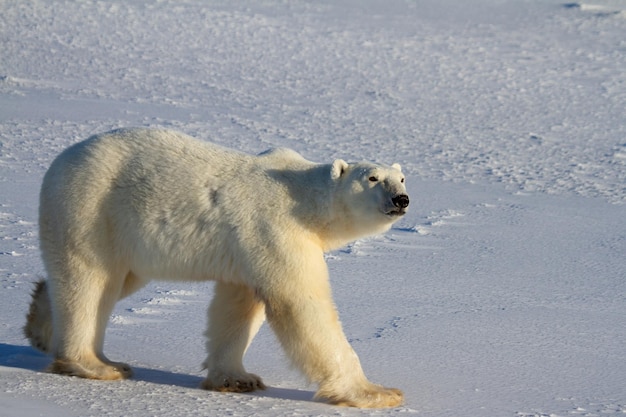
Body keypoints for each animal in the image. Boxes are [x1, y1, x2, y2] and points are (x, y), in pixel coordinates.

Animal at [24, 127, 408, 406]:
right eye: (372, 178)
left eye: (402, 179)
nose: (400, 200)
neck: (304, 199)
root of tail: (62, 159)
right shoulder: (277, 229)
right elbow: (302, 304)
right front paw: (377, 392)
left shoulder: (247, 246)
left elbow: (237, 307)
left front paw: (237, 379)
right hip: (92, 209)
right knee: (90, 281)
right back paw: (97, 365)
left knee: (116, 281)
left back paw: (41, 328)